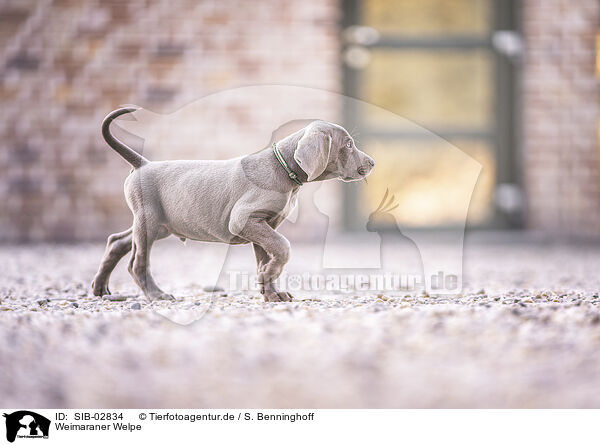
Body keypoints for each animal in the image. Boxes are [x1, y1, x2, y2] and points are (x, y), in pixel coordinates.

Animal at [92, 108, 376, 302]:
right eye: (348, 144)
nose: (372, 162)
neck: (283, 169)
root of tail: (142, 163)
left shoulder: (264, 224)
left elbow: (267, 257)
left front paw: (271, 292)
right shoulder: (244, 219)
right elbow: (283, 247)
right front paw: (267, 281)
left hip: (161, 223)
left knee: (117, 241)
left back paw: (100, 288)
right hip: (149, 221)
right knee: (137, 262)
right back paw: (156, 295)